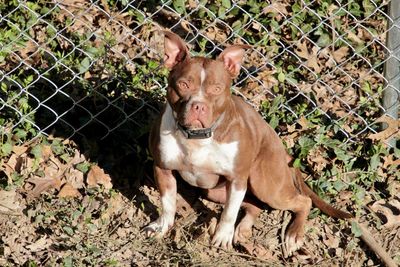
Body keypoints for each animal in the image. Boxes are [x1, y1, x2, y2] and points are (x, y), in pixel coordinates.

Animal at [145, 30, 352, 255]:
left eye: (217, 88)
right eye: (183, 85)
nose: (198, 106)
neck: (198, 137)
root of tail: (285, 153)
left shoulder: (237, 179)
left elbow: (229, 213)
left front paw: (222, 237)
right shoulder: (162, 168)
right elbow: (167, 203)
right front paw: (162, 226)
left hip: (265, 183)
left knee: (303, 201)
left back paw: (293, 234)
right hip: (216, 192)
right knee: (254, 205)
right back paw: (243, 229)